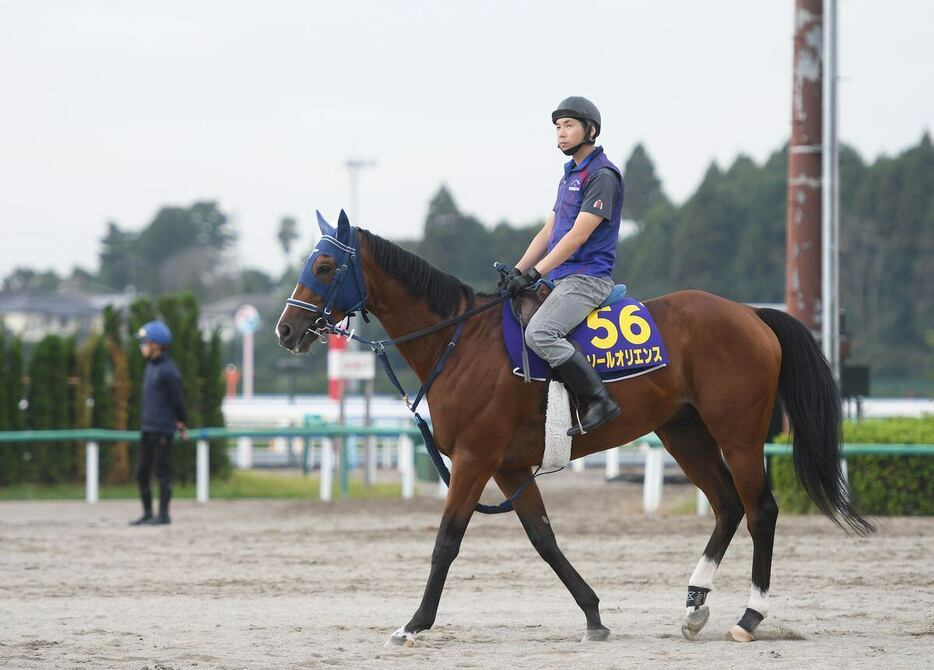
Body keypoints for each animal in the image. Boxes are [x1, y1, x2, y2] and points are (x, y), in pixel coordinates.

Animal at [274, 213, 872, 648]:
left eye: (324, 264)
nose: (286, 328)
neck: (460, 343)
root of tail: (750, 314)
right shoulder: (511, 466)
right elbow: (544, 539)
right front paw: (593, 614)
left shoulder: (474, 459)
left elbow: (447, 541)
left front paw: (415, 622)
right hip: (684, 433)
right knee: (726, 506)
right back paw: (695, 604)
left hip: (740, 434)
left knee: (760, 510)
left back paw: (749, 616)